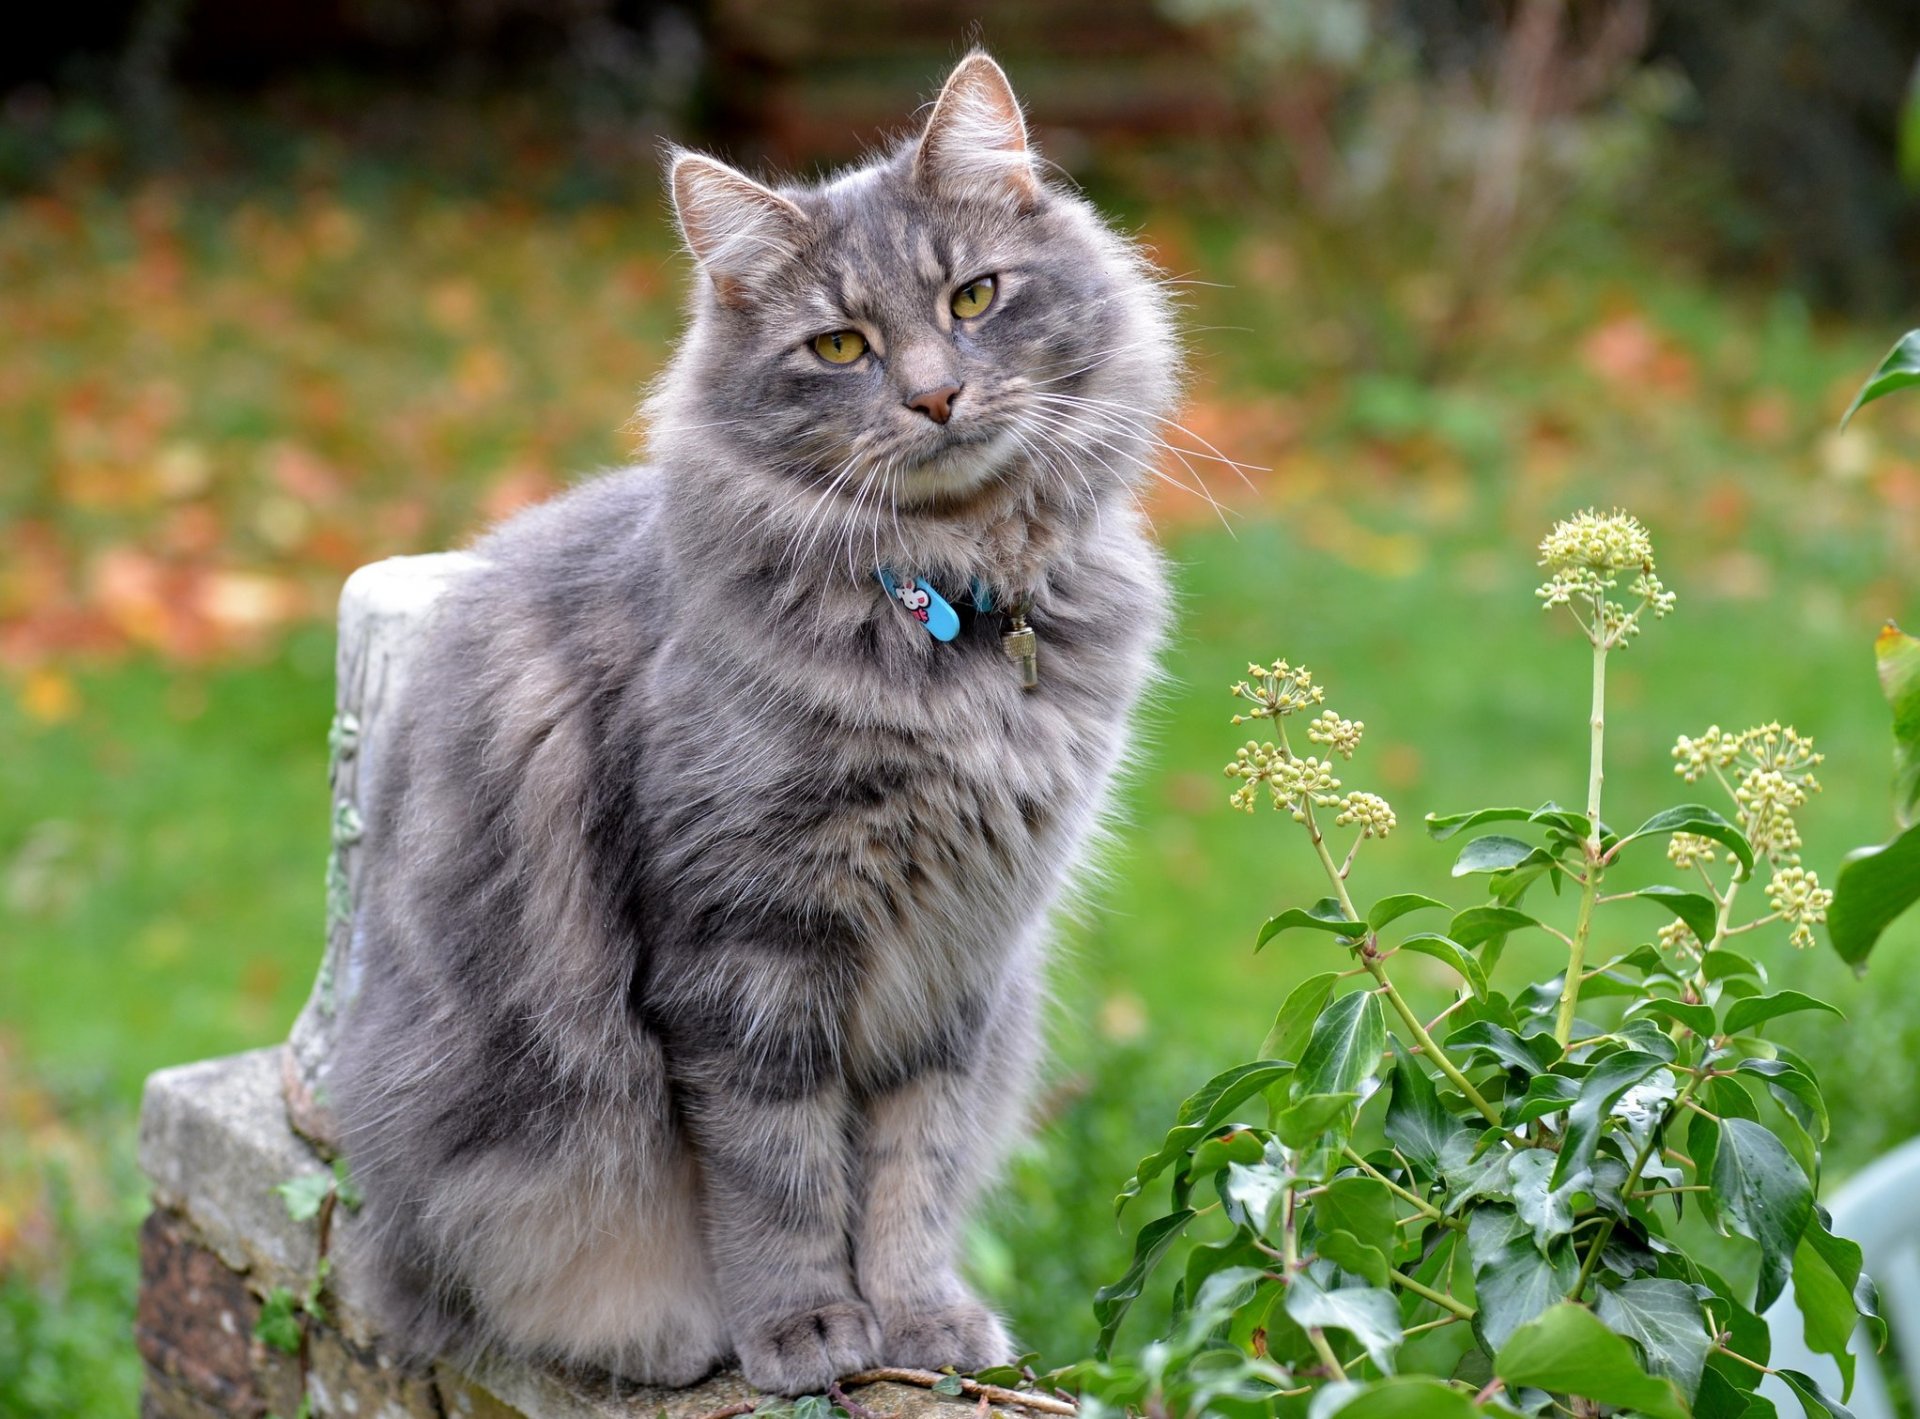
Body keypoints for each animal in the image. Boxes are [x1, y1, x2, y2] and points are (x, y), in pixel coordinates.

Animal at [336, 52, 1182, 1397]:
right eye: (839, 345)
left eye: (976, 295)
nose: (936, 397)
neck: (955, 613)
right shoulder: (745, 948)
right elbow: (777, 1175)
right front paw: (808, 1332)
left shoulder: (963, 954)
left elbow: (912, 1171)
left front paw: (919, 1321)